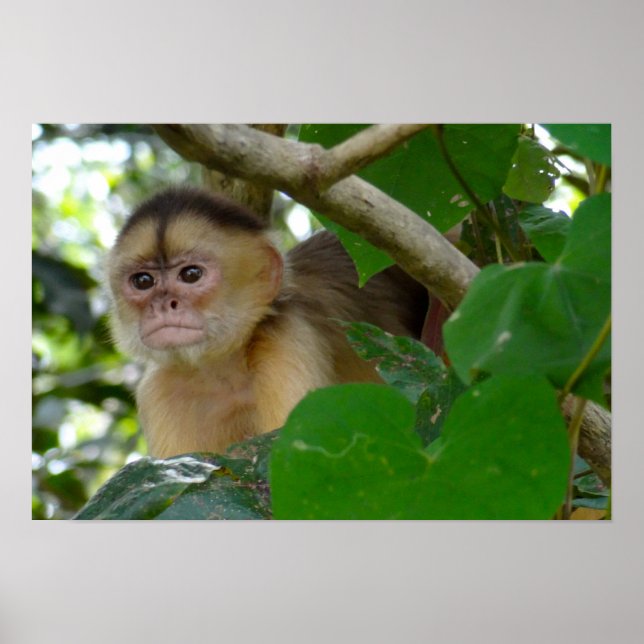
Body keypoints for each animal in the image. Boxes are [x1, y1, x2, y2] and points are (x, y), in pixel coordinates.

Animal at [107, 186, 428, 458]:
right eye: (143, 281)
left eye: (190, 275)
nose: (163, 305)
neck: (227, 373)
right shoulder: (160, 391)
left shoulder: (287, 340)